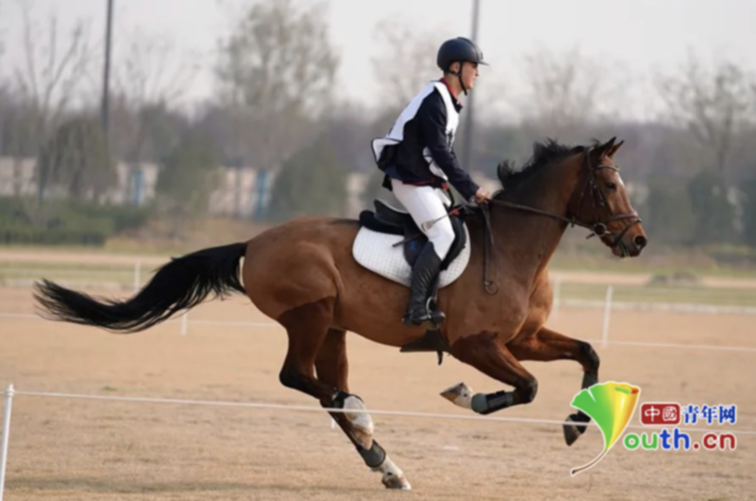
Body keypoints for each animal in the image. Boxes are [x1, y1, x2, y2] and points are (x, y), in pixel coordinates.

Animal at [35, 136, 648, 488]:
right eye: (609, 184)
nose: (638, 241)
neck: (516, 246)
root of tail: (254, 241)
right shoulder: (478, 345)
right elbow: (525, 388)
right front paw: (467, 397)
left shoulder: (524, 338)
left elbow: (588, 353)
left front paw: (576, 424)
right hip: (311, 315)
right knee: (301, 380)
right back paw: (366, 420)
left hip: (333, 328)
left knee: (324, 393)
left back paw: (385, 463)